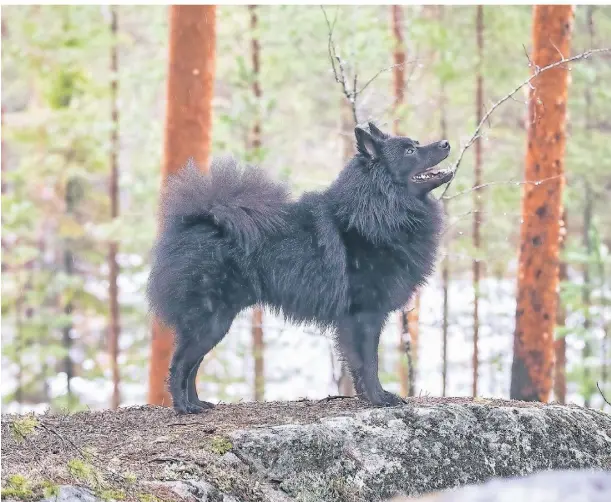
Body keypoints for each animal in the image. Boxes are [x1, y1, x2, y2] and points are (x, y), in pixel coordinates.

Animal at [148, 121, 452, 412]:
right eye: (410, 151)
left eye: (416, 143)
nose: (446, 143)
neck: (379, 209)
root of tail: (197, 221)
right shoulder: (365, 315)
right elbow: (369, 363)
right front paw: (379, 399)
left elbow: (357, 366)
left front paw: (367, 397)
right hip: (211, 319)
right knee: (180, 364)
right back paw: (184, 407)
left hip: (214, 321)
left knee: (193, 364)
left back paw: (198, 403)